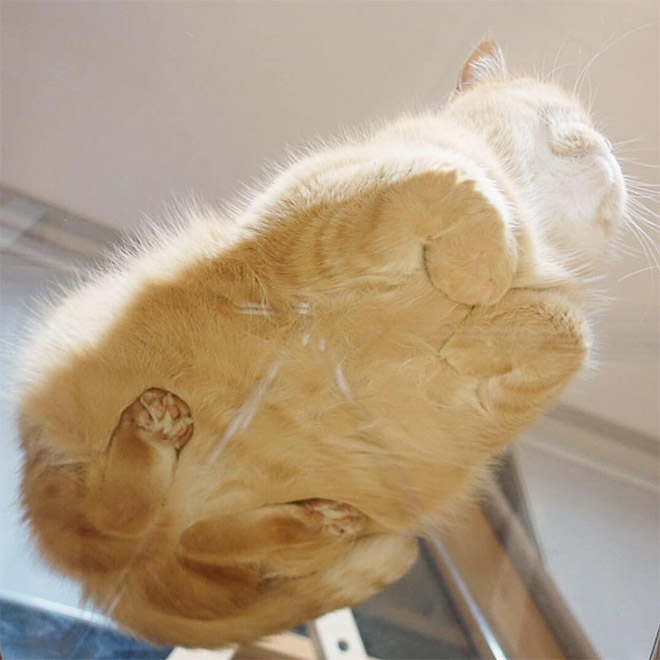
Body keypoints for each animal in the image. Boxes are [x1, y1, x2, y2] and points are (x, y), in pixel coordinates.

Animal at [15, 38, 624, 648]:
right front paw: (481, 272)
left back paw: (314, 520)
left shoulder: (500, 404)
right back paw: (155, 429)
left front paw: (472, 335)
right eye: (565, 109)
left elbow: (571, 335)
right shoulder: (326, 218)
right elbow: (457, 184)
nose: (609, 148)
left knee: (193, 536)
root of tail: (121, 587)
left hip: (244, 535)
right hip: (81, 444)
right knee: (118, 513)